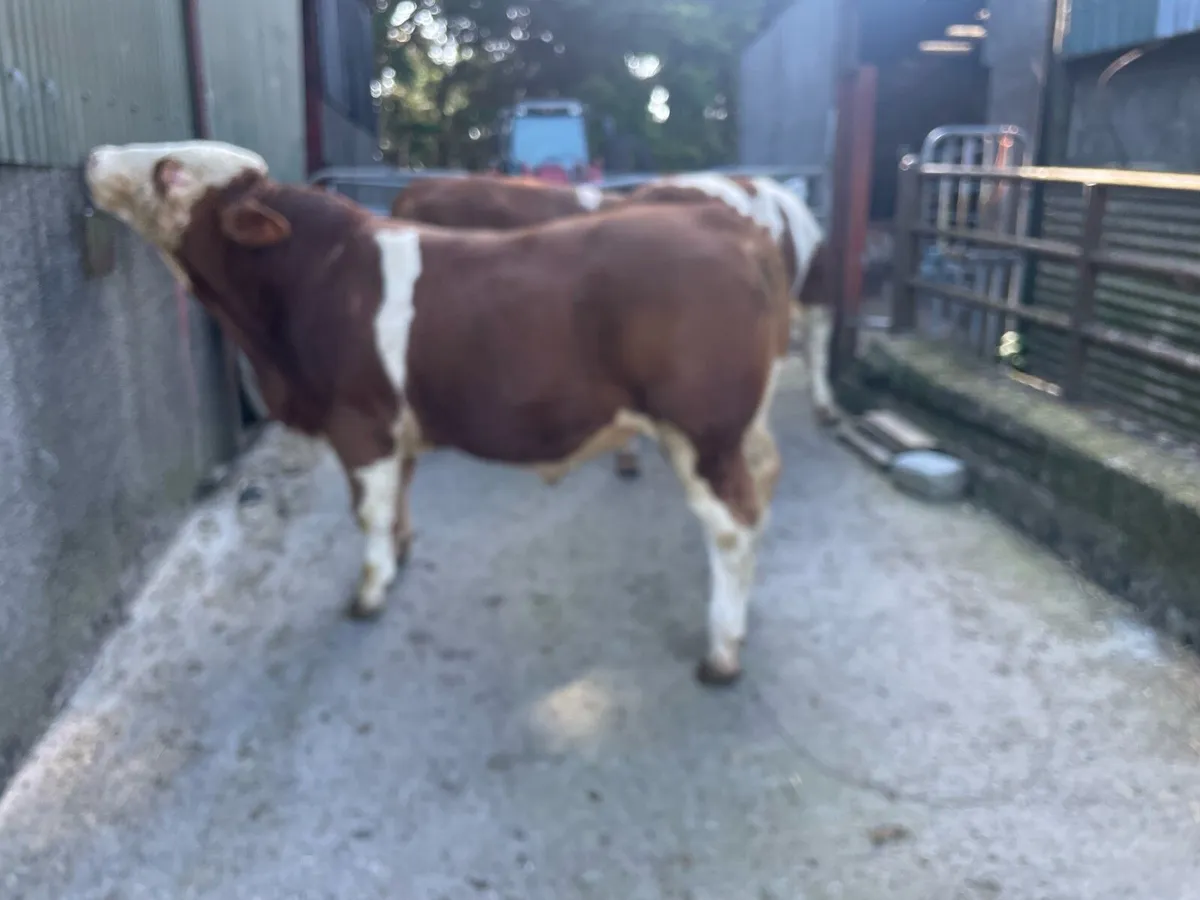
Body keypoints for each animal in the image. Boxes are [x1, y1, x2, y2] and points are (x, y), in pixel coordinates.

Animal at [84, 140, 792, 686]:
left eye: (171, 171)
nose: (93, 157)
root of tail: (732, 228)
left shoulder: (360, 420)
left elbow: (368, 509)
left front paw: (370, 591)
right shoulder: (397, 424)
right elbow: (399, 494)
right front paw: (399, 553)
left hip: (704, 431)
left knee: (733, 528)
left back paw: (721, 652)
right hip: (742, 430)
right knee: (762, 493)